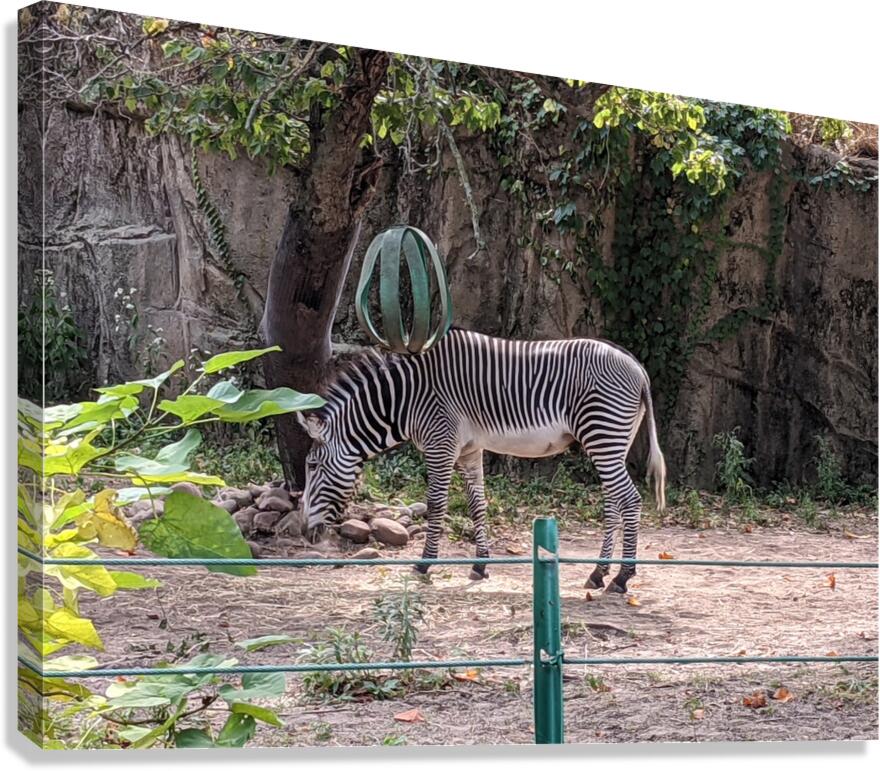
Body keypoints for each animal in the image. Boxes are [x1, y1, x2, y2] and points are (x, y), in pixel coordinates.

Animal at [297, 327, 666, 593]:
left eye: (312, 466)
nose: (303, 530)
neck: (406, 398)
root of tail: (638, 367)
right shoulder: (468, 449)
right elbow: (478, 504)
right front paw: (480, 565)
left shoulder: (440, 444)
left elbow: (437, 504)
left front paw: (424, 564)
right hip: (612, 441)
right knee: (614, 502)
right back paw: (598, 573)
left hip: (602, 434)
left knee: (630, 500)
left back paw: (622, 577)